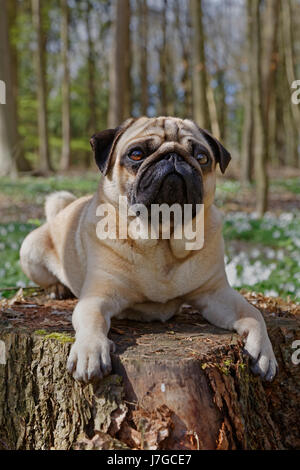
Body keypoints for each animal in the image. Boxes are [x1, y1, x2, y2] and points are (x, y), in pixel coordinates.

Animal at [19, 116, 276, 382]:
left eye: (202, 157)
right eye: (136, 154)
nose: (173, 155)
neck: (162, 240)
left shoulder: (216, 293)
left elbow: (253, 314)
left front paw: (263, 351)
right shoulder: (97, 296)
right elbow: (92, 319)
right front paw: (89, 351)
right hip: (31, 251)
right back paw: (57, 288)